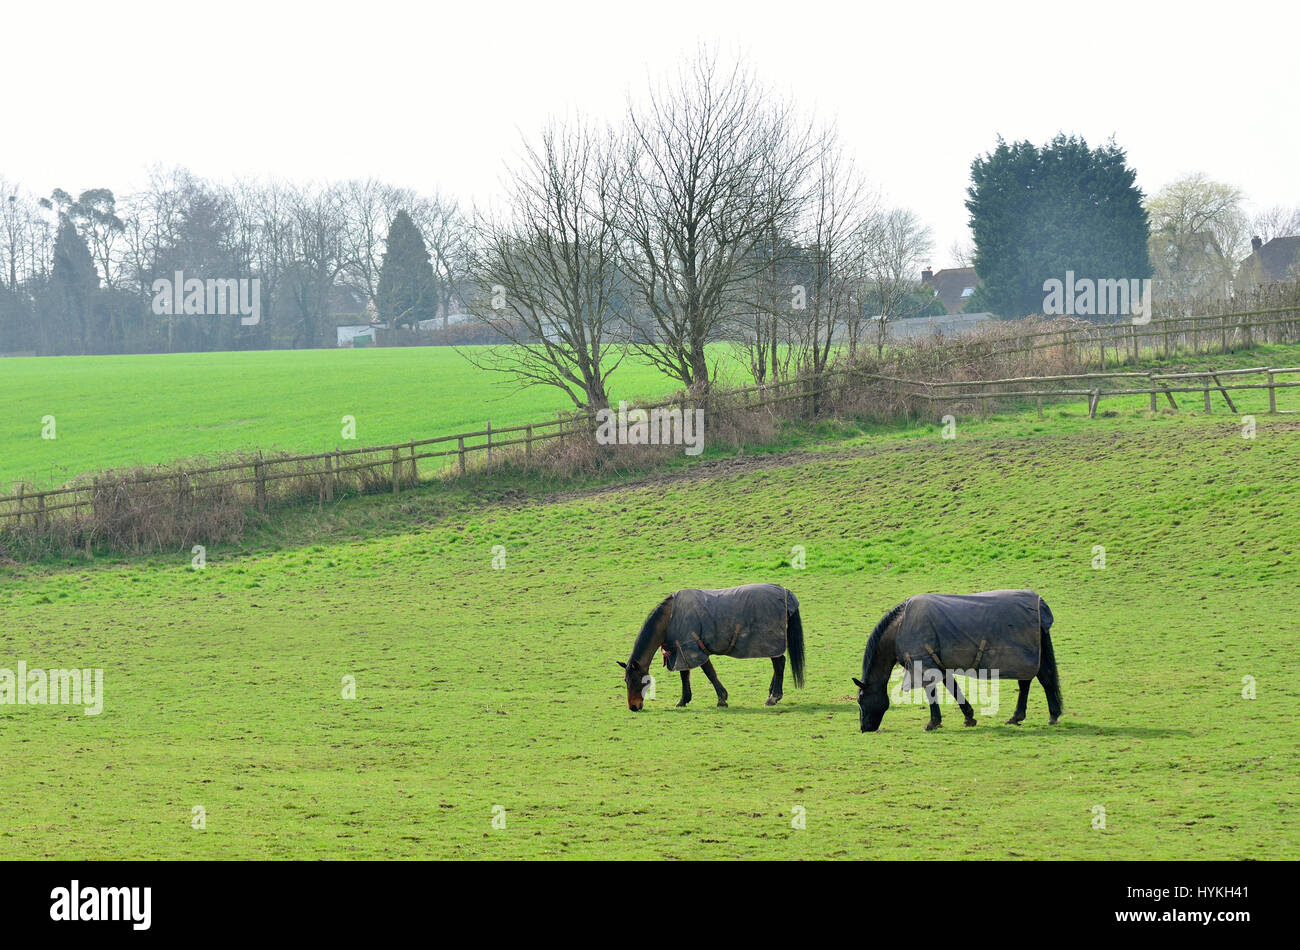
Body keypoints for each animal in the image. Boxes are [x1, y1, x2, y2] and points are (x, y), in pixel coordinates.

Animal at [618, 584, 805, 711]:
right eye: (626, 681)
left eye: (638, 680)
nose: (633, 707)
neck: (670, 618)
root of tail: (784, 592)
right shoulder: (681, 651)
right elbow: (685, 675)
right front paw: (683, 700)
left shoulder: (693, 650)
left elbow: (709, 673)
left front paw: (721, 699)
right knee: (778, 664)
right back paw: (772, 693)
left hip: (771, 642)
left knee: (779, 664)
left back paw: (773, 697)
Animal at [852, 589, 1062, 732]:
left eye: (861, 699)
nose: (864, 728)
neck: (900, 627)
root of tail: (1040, 606)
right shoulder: (939, 664)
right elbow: (953, 689)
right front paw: (968, 717)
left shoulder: (923, 663)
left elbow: (932, 691)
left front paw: (933, 722)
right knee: (1036, 680)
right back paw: (1027, 716)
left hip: (1021, 657)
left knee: (1034, 681)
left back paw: (1042, 715)